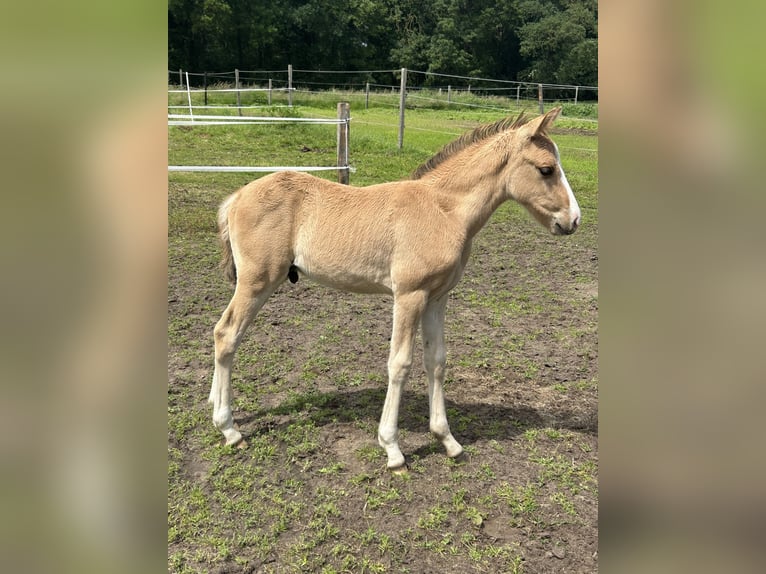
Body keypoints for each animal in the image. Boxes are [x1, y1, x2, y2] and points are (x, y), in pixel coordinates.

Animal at [209, 107, 580, 470]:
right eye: (546, 169)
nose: (573, 220)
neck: (442, 210)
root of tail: (237, 196)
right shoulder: (409, 295)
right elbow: (400, 363)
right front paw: (392, 449)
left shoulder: (437, 298)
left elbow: (436, 360)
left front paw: (448, 440)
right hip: (257, 281)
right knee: (226, 334)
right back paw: (229, 428)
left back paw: (215, 404)